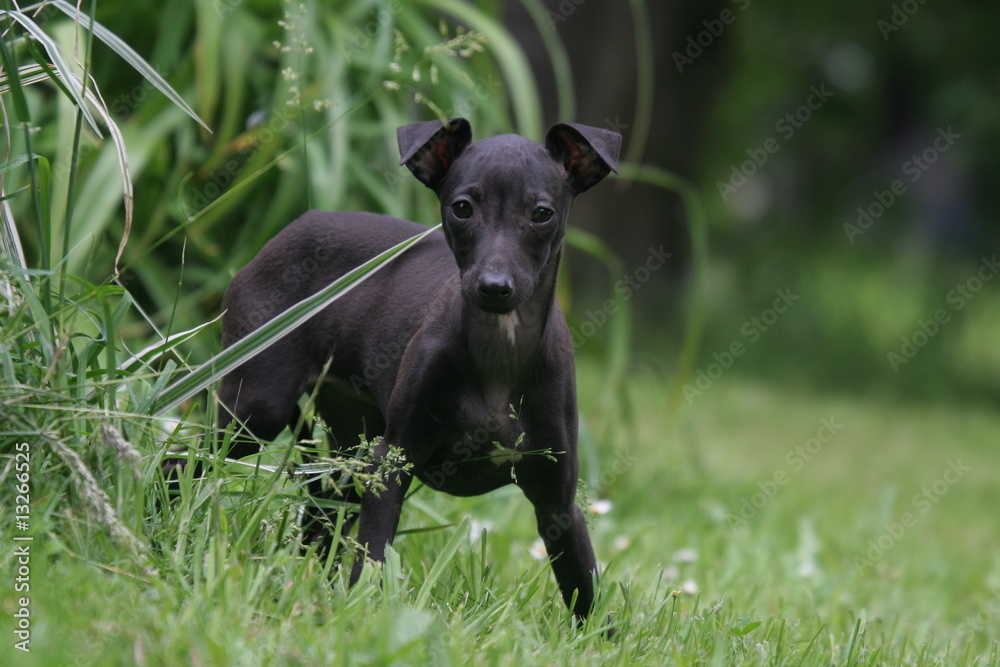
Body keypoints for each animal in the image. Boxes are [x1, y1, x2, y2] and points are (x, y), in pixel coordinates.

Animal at [221, 117, 616, 624]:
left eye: (542, 214)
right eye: (462, 208)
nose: (494, 287)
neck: (499, 356)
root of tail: (291, 228)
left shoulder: (557, 499)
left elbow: (585, 590)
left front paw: (600, 636)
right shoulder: (391, 463)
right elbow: (370, 560)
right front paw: (362, 617)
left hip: (346, 450)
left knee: (318, 518)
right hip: (257, 408)